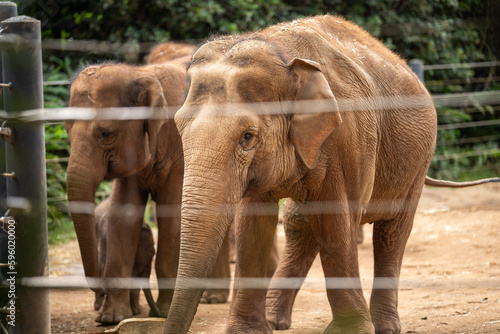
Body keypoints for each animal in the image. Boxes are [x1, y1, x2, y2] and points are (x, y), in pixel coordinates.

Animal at [163, 15, 496, 334]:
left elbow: (337, 222)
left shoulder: (348, 137)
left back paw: (386, 327)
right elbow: (253, 226)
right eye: (179, 126)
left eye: (247, 137)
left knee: (392, 231)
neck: (282, 52)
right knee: (300, 222)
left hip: (419, 159)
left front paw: (351, 330)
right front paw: (249, 332)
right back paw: (275, 320)